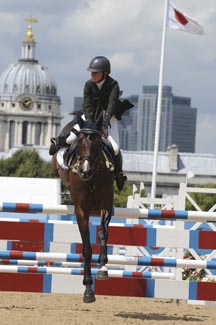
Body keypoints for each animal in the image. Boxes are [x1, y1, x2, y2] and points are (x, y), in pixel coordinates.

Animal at [52, 121, 115, 302]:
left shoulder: (106, 205)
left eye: (97, 144)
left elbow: (103, 233)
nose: (85, 171)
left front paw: (103, 268)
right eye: (79, 143)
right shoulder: (81, 211)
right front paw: (88, 289)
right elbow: (86, 248)